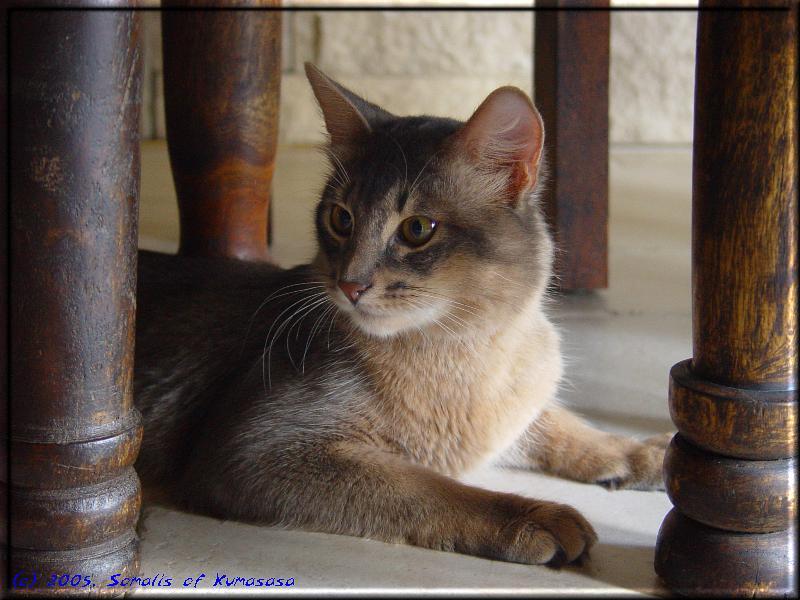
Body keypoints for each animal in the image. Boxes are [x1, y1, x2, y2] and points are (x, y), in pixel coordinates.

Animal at [134, 63, 672, 568]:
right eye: (340, 218)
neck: (470, 347)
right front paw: (532, 517)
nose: (349, 284)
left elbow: (557, 422)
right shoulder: (257, 449)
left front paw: (643, 452)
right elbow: (426, 487)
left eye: (417, 229)